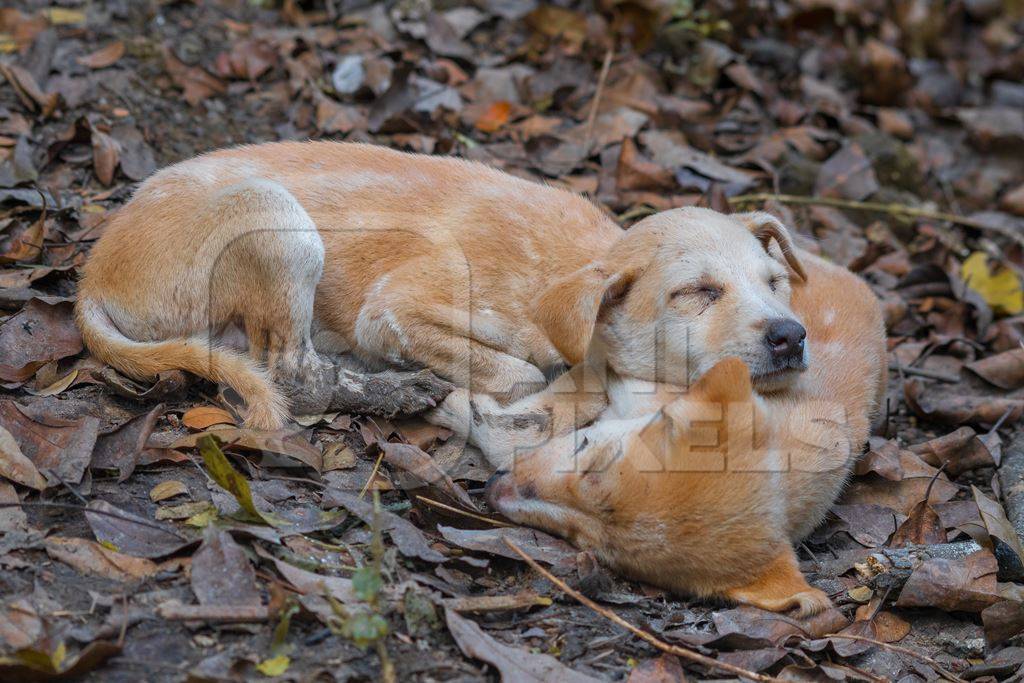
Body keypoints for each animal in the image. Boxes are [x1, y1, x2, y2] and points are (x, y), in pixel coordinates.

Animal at [77, 141, 815, 428]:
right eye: (697, 291)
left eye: (777, 282)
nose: (792, 337)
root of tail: (93, 272)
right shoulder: (394, 310)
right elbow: (519, 373)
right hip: (276, 217)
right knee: (295, 375)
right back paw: (395, 391)